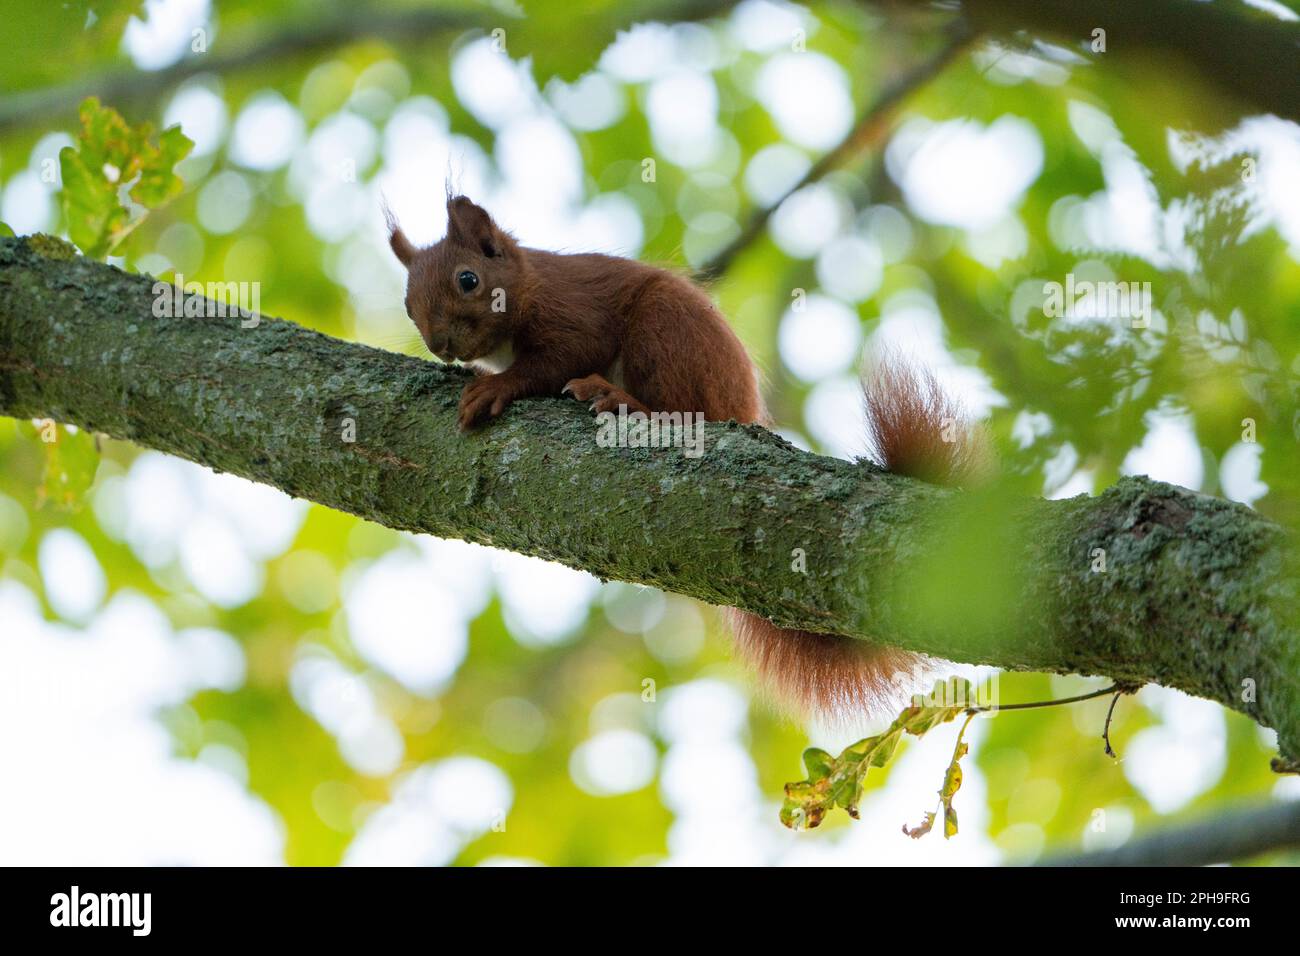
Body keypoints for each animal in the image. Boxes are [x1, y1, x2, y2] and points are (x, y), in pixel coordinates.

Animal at [387, 194, 975, 719]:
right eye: (407, 304)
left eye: (468, 280)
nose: (440, 344)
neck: (528, 284)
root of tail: (743, 412)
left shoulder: (571, 311)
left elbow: (555, 359)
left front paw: (495, 386)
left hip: (665, 328)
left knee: (677, 408)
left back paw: (620, 398)